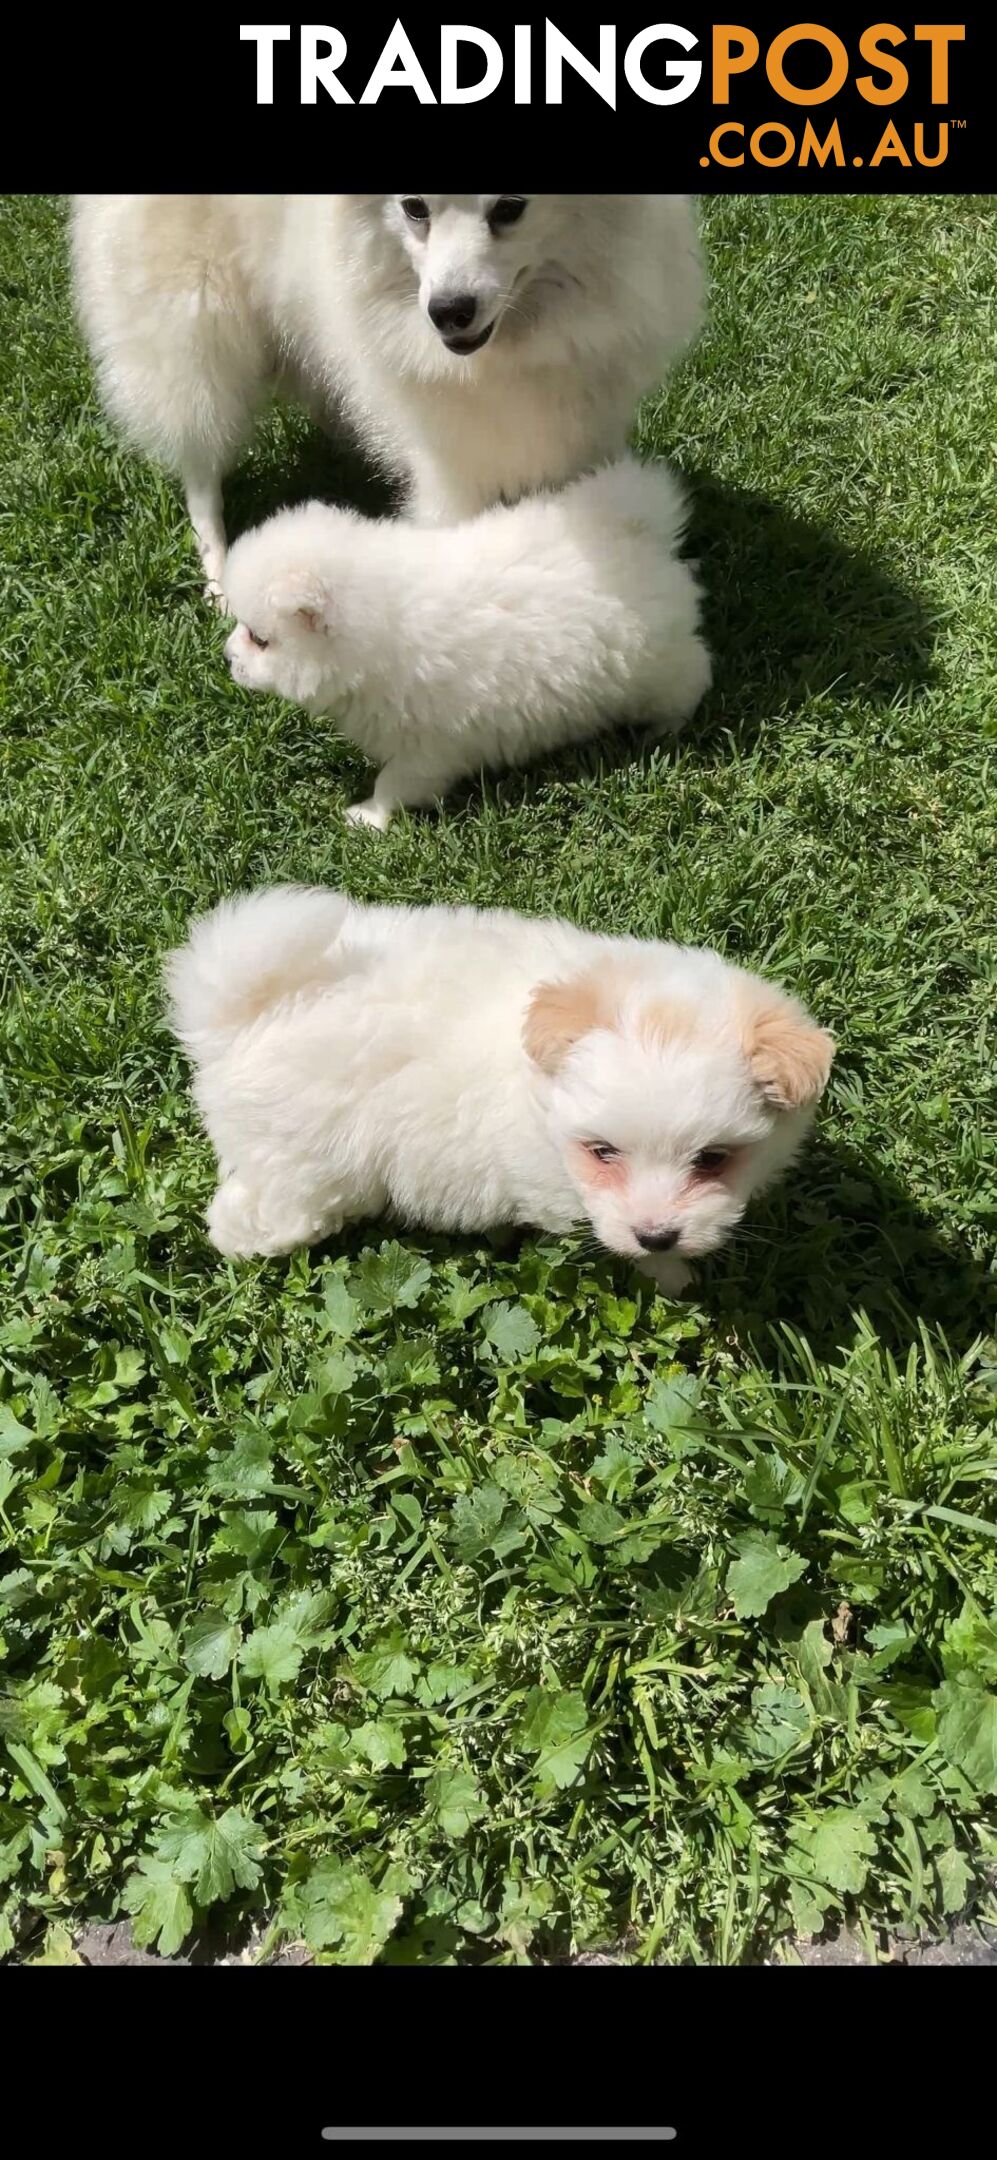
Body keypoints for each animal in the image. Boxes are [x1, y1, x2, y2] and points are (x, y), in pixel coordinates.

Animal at [70, 194, 703, 596]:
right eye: (414, 208)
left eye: (510, 208)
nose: (447, 311)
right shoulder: (449, 475)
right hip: (196, 331)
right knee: (200, 462)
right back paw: (220, 572)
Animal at [165, 885, 832, 1287]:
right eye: (603, 1153)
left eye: (714, 1158)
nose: (657, 1233)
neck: (536, 1092)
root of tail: (237, 1017)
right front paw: (672, 1276)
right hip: (301, 1163)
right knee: (258, 1211)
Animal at [223, 455, 712, 825]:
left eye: (259, 639)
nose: (227, 657)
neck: (377, 622)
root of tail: (638, 531)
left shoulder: (430, 748)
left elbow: (394, 784)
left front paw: (367, 817)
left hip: (656, 667)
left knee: (694, 674)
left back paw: (664, 729)